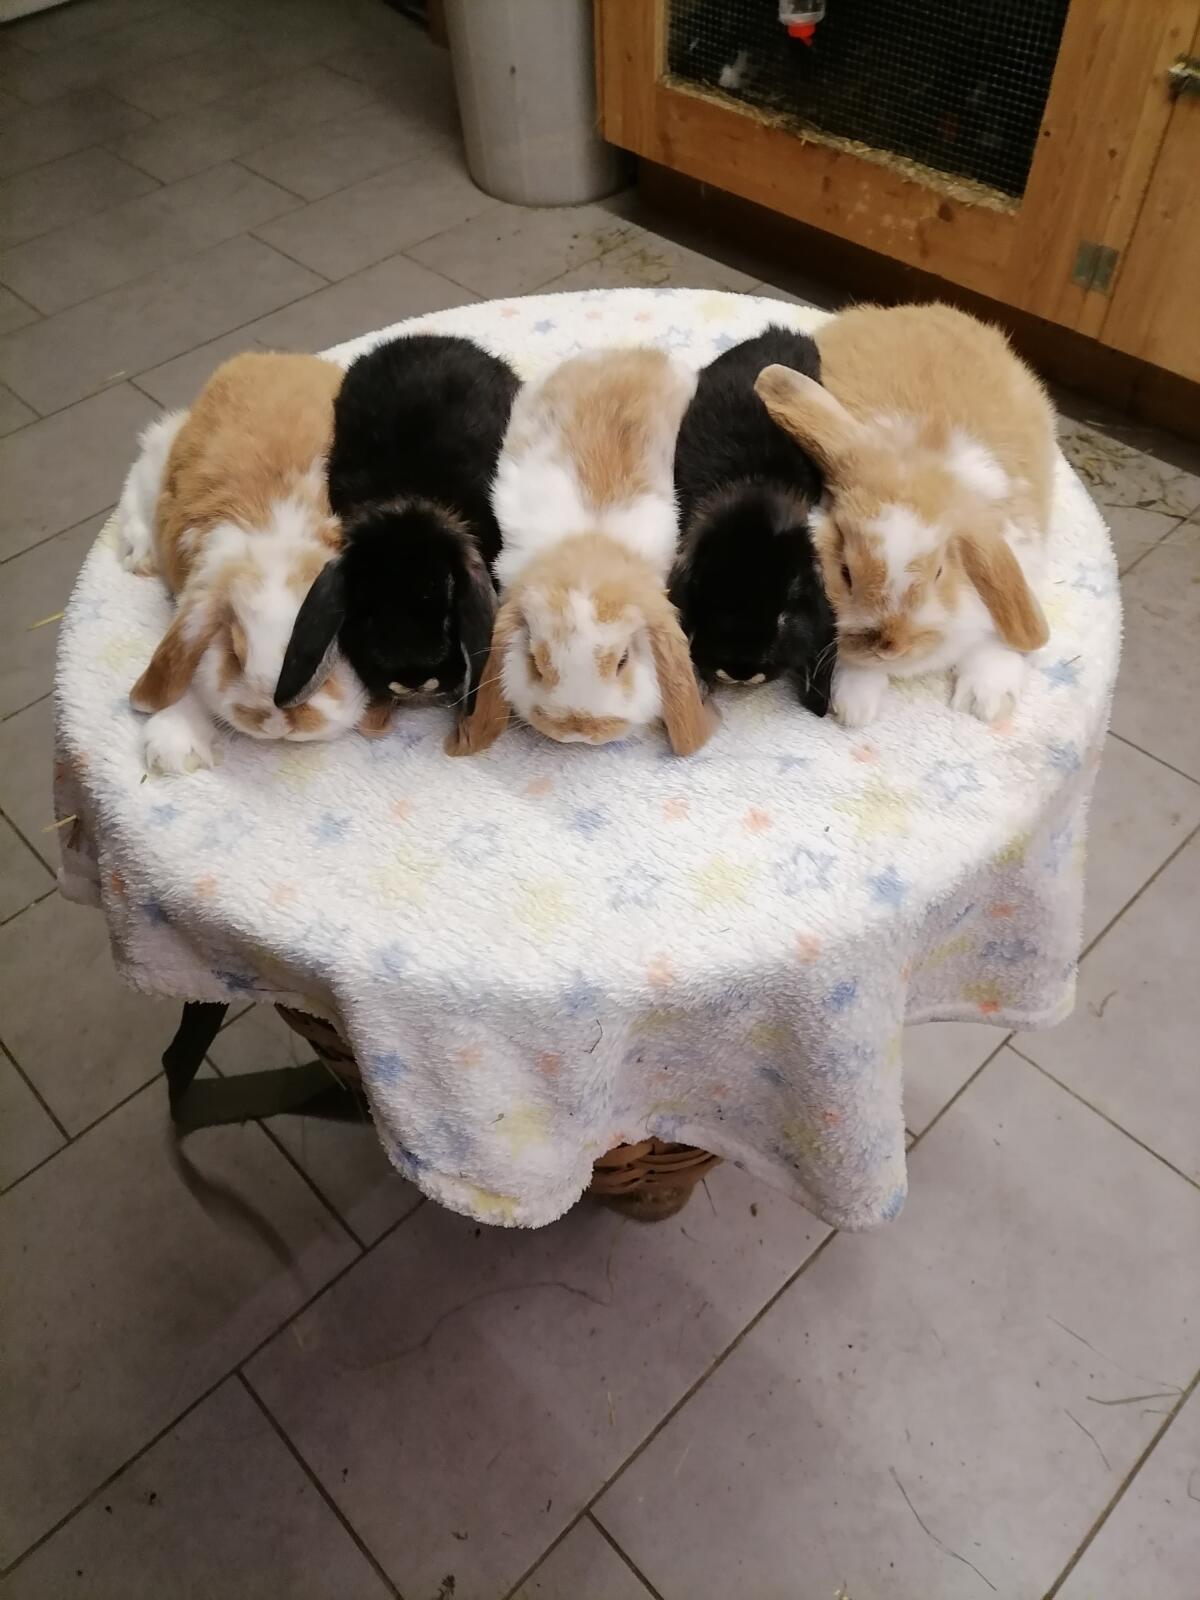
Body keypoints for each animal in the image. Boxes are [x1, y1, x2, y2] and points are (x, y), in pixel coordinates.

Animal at [118, 351, 368, 775]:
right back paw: (140, 556)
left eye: (330, 662)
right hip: (161, 455)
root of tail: (275, 357)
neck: (283, 531)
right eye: (235, 655)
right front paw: (173, 750)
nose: (276, 725)